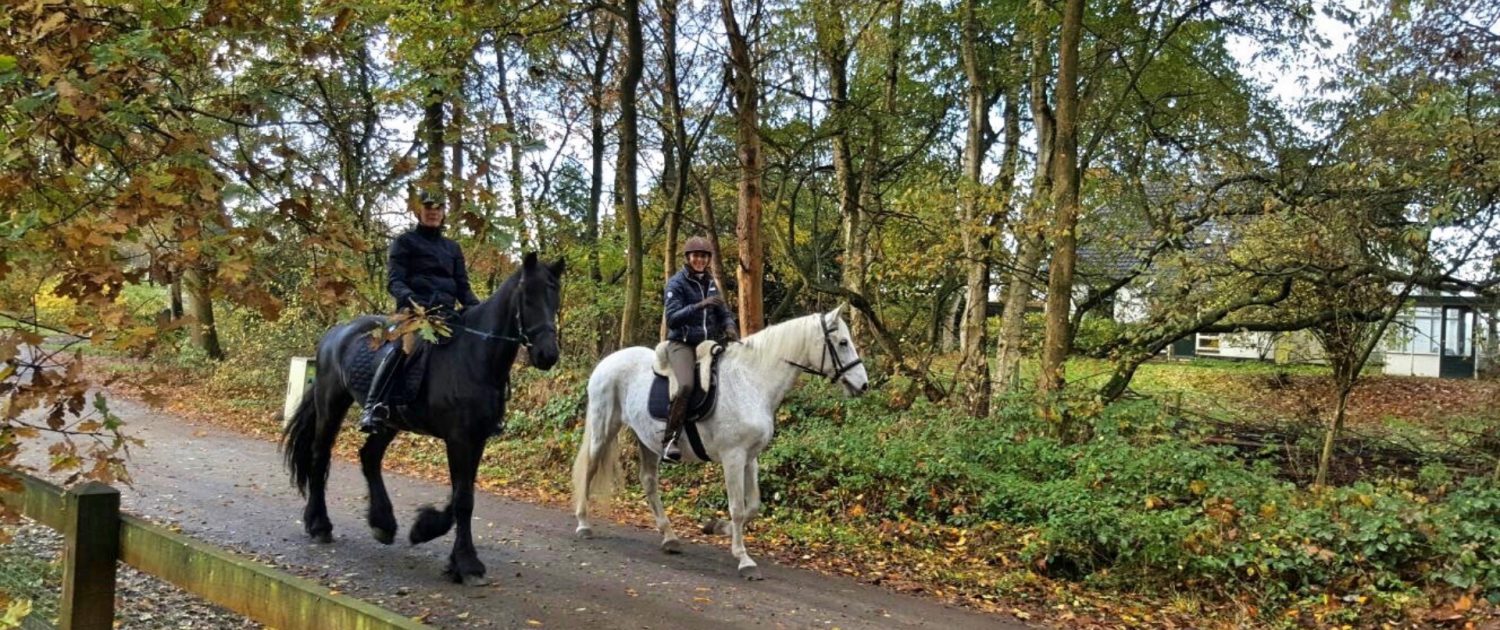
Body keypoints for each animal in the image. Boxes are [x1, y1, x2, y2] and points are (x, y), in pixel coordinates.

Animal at [282, 250, 564, 585]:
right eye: (528, 297)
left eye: (555, 298)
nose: (548, 355)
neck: (474, 356)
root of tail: (334, 334)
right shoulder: (458, 437)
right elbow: (463, 499)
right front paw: (467, 563)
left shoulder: (476, 437)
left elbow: (462, 493)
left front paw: (425, 531)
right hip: (332, 404)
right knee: (319, 456)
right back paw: (319, 525)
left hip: (388, 422)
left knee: (369, 457)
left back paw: (383, 524)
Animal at [570, 307, 870, 579]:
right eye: (843, 342)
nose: (864, 385)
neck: (751, 382)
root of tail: (605, 363)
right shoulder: (733, 457)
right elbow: (737, 508)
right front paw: (744, 559)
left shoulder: (750, 458)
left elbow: (753, 506)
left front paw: (715, 527)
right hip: (603, 428)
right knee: (590, 469)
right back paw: (583, 524)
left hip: (647, 441)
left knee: (649, 482)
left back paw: (669, 537)